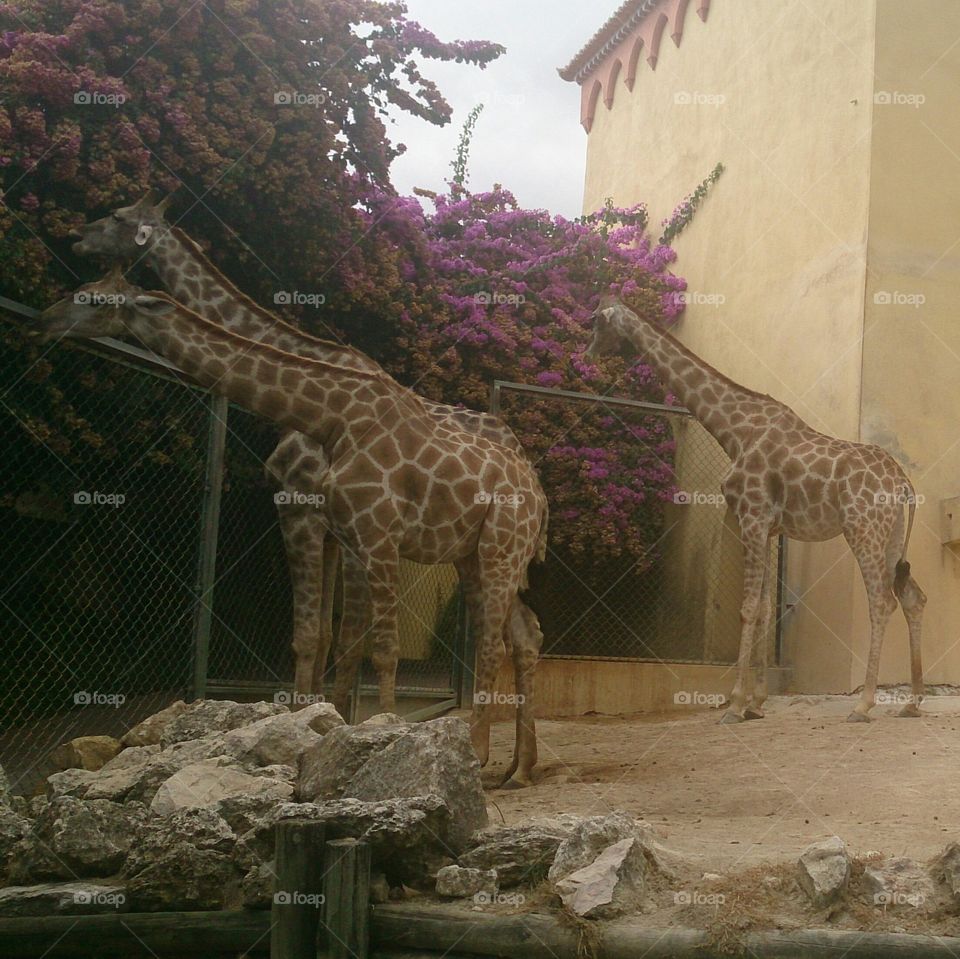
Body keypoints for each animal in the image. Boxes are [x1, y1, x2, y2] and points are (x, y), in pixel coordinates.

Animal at [37, 270, 548, 787]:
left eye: (93, 299)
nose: (45, 319)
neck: (331, 417)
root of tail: (539, 496)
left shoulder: (375, 534)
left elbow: (382, 648)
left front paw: (388, 732)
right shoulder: (349, 537)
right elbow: (332, 637)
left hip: (500, 547)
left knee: (491, 642)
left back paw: (481, 755)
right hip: (474, 555)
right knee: (519, 632)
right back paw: (518, 768)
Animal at [72, 193, 537, 714]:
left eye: (117, 217)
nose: (78, 236)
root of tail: (524, 457)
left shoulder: (304, 507)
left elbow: (328, 637)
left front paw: (323, 714)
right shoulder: (331, 526)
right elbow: (328, 636)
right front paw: (317, 711)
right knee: (521, 632)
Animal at [585, 297, 926, 724]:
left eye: (595, 323)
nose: (586, 356)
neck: (733, 430)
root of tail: (904, 483)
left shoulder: (751, 515)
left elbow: (747, 608)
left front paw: (733, 704)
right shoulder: (768, 526)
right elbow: (765, 608)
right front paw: (757, 702)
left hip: (863, 528)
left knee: (882, 601)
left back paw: (863, 704)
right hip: (892, 535)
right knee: (912, 597)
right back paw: (912, 702)